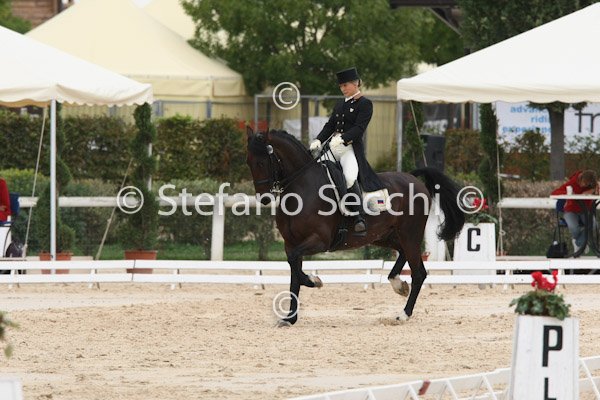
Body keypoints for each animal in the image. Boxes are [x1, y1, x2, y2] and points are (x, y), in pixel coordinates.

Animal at [246, 128, 465, 326]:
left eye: (262, 162)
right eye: (249, 162)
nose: (264, 199)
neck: (301, 188)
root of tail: (413, 179)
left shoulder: (319, 240)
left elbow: (295, 268)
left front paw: (314, 281)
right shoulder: (291, 244)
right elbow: (293, 275)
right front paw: (290, 318)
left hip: (410, 234)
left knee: (419, 273)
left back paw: (403, 314)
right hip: (385, 236)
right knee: (403, 255)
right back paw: (397, 284)